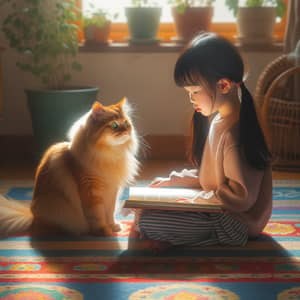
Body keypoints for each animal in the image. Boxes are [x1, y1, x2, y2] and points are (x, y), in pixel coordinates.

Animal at [0, 98, 139, 237]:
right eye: (114, 125)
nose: (126, 131)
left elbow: (110, 212)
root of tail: (32, 217)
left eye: (126, 123)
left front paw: (113, 226)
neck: (109, 155)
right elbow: (98, 216)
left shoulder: (112, 191)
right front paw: (104, 231)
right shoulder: (91, 192)